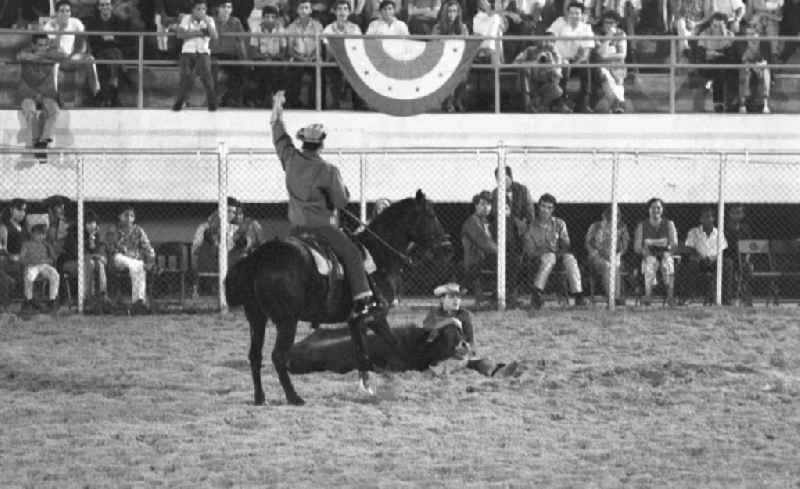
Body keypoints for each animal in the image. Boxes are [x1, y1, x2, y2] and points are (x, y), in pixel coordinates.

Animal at [222, 189, 454, 406]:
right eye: (431, 215)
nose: (447, 248)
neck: (378, 255)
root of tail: (260, 255)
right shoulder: (375, 317)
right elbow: (394, 345)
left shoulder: (356, 321)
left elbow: (362, 354)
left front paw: (366, 389)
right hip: (287, 321)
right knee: (278, 356)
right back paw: (294, 397)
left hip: (256, 318)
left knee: (255, 356)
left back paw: (260, 397)